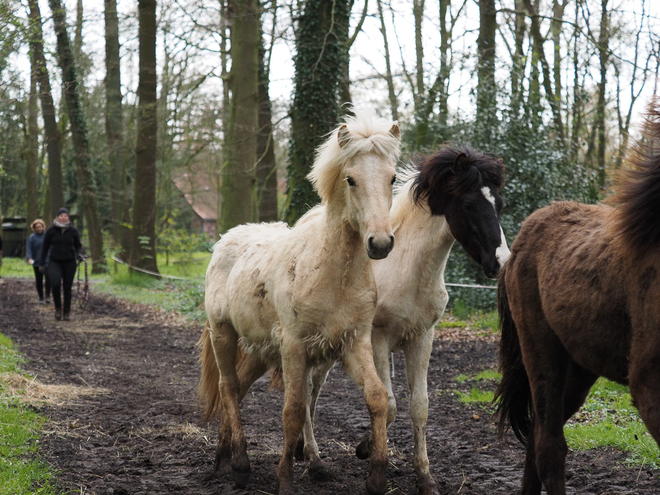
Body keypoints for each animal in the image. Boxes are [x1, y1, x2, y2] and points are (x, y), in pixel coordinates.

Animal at [199, 113, 400, 495]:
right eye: (351, 179)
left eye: (393, 178)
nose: (380, 243)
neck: (331, 274)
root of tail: (225, 239)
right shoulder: (294, 346)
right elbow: (292, 410)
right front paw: (285, 480)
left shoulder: (353, 343)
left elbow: (377, 397)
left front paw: (377, 477)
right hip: (223, 333)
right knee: (228, 387)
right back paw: (240, 463)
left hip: (262, 350)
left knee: (240, 386)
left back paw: (223, 454)